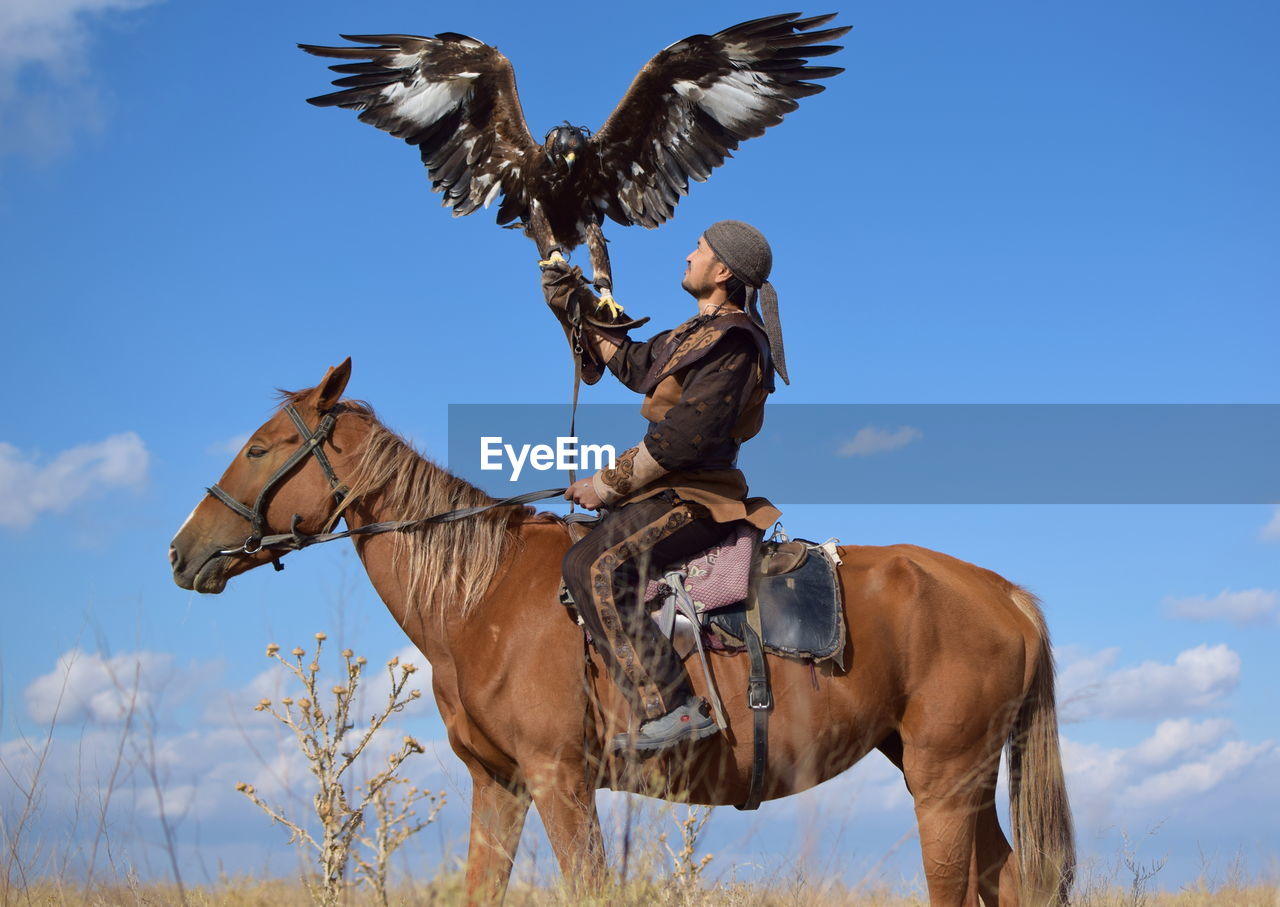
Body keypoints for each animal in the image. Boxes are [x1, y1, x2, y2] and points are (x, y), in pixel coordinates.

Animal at [167, 360, 1070, 905]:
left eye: (260, 449)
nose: (182, 551)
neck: (482, 595)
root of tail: (1004, 595)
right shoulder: (500, 783)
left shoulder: (559, 779)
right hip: (947, 778)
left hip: (943, 784)